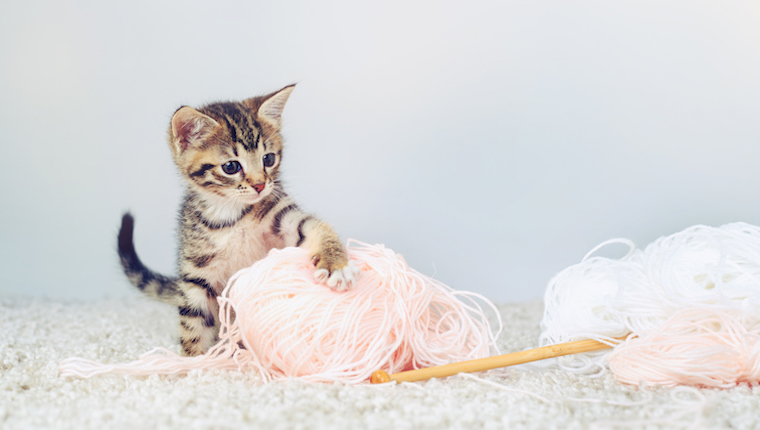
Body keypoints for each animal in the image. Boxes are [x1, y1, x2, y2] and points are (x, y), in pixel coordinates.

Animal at [118, 84, 360, 356]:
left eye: (268, 159)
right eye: (231, 167)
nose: (260, 185)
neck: (231, 214)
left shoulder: (285, 218)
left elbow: (315, 228)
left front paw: (336, 265)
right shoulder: (196, 269)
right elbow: (194, 320)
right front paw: (193, 361)